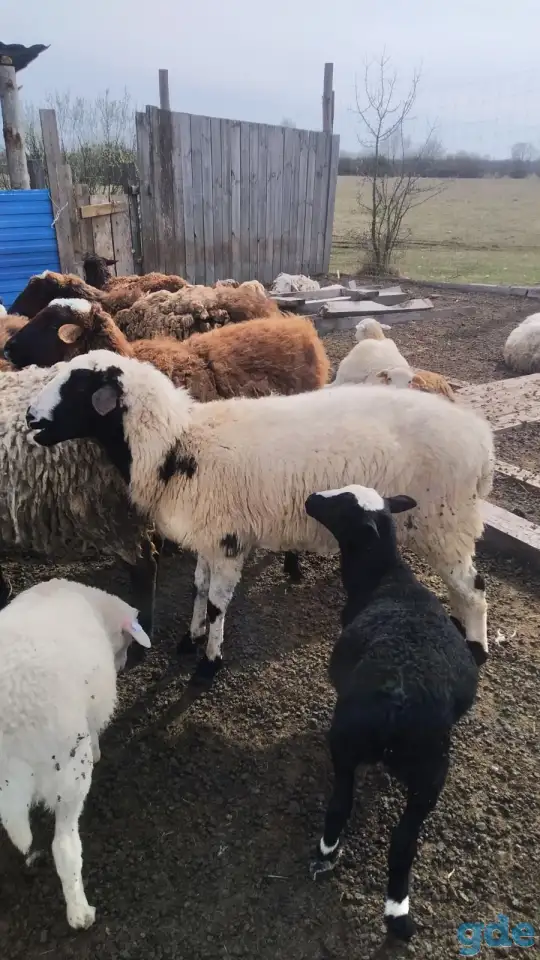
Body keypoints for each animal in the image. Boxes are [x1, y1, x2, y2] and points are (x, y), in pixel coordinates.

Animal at [0, 577, 151, 929]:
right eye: (126, 643)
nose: (123, 663)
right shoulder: (93, 709)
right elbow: (95, 733)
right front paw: (98, 751)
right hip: (69, 773)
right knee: (64, 846)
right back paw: (80, 913)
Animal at [28, 351, 494, 686]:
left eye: (78, 384)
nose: (31, 417)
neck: (176, 445)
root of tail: (480, 438)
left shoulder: (228, 540)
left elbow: (218, 603)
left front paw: (209, 663)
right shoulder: (207, 535)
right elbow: (198, 588)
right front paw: (190, 638)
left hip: (446, 520)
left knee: (473, 587)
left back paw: (476, 647)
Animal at [305, 484, 479, 940]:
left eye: (340, 506)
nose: (310, 498)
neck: (387, 579)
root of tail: (398, 698)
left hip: (346, 741)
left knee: (340, 804)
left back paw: (327, 851)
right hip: (431, 771)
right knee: (404, 842)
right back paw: (398, 913)